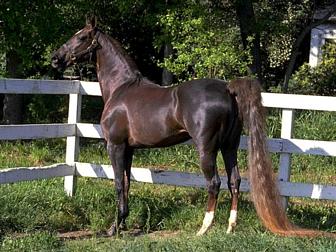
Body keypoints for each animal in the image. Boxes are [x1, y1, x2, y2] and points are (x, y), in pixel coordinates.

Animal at [51, 17, 334, 238]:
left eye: (81, 37)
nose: (55, 59)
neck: (121, 88)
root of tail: (227, 89)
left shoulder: (116, 146)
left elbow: (119, 184)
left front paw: (114, 229)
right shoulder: (129, 149)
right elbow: (128, 183)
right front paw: (121, 224)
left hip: (206, 150)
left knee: (214, 183)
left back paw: (204, 228)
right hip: (229, 147)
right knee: (234, 180)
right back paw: (230, 227)